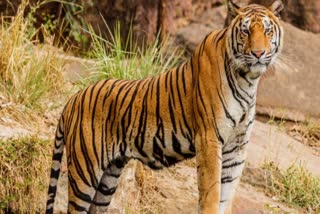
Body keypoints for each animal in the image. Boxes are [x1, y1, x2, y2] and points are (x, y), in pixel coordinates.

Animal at [46, 0, 284, 213]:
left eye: (267, 31)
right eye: (245, 31)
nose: (258, 54)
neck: (248, 80)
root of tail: (73, 99)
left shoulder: (237, 146)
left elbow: (227, 194)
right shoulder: (209, 138)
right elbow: (212, 191)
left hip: (109, 177)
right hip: (85, 171)